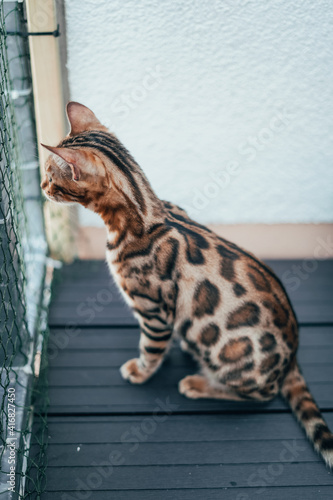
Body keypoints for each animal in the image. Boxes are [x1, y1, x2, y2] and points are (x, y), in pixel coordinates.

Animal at [41, 101, 332, 468]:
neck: (145, 215)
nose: (41, 186)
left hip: (232, 355)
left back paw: (199, 383)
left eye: (51, 175)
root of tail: (293, 356)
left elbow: (150, 350)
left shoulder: (153, 311)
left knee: (260, 393)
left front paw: (141, 371)